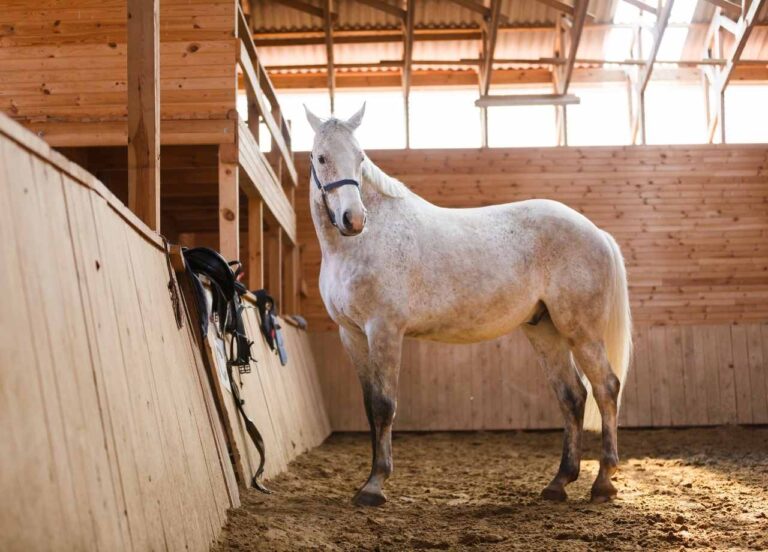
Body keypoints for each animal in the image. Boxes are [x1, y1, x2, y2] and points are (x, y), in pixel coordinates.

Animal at [304, 103, 632, 507]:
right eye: (321, 157)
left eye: (360, 157)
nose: (354, 219)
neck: (362, 243)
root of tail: (596, 232)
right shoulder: (350, 334)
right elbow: (369, 407)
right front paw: (368, 480)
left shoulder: (384, 330)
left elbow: (384, 404)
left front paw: (374, 485)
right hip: (545, 330)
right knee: (572, 396)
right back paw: (559, 483)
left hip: (580, 331)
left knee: (606, 388)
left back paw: (603, 482)